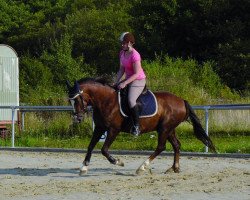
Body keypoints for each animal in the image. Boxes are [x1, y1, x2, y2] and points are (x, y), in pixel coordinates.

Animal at [67, 77, 217, 175]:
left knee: (161, 147)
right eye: (70, 101)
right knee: (176, 145)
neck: (105, 100)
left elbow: (104, 149)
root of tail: (181, 100)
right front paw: (84, 167)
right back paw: (174, 168)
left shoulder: (113, 130)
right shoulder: (99, 128)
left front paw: (117, 161)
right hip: (169, 129)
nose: (77, 118)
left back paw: (142, 167)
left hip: (164, 128)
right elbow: (90, 146)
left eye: (77, 99)